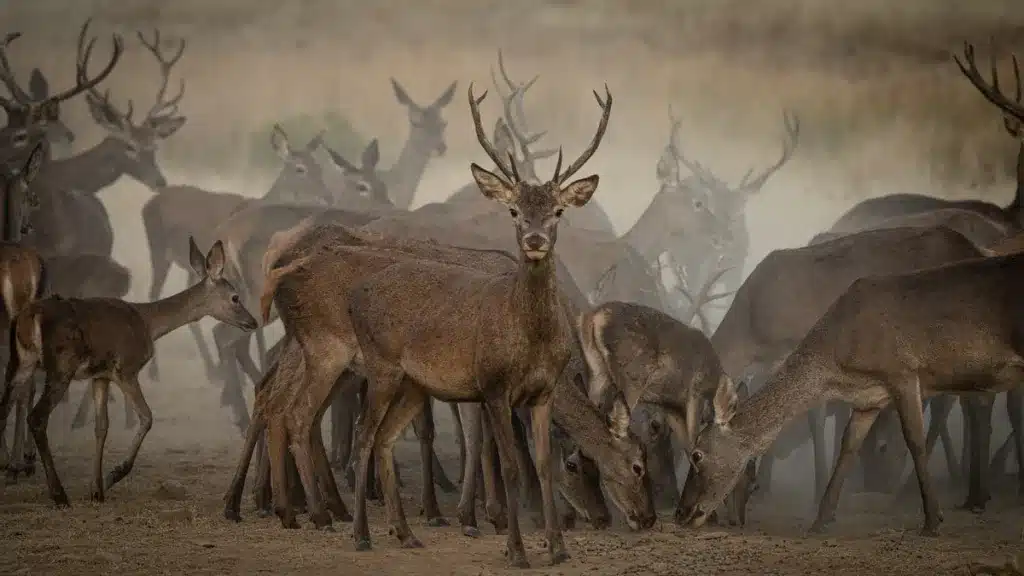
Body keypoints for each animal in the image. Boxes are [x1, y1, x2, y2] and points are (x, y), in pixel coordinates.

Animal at [0, 236, 256, 502]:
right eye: (235, 297)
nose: (253, 322)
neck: (148, 322)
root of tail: (28, 319)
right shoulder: (126, 369)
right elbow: (147, 417)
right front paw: (114, 475)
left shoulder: (100, 375)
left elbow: (101, 426)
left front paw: (96, 489)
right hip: (61, 366)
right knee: (36, 417)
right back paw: (58, 493)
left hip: (21, 362)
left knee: (4, 407)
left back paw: (11, 469)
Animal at [679, 249, 1024, 537]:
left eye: (697, 454)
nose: (682, 513)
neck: (839, 363)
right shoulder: (870, 398)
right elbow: (848, 447)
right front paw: (820, 520)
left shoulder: (902, 372)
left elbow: (914, 441)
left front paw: (931, 520)